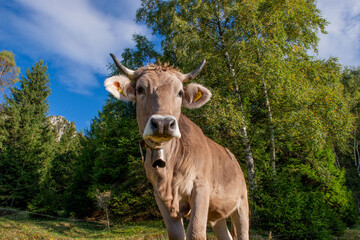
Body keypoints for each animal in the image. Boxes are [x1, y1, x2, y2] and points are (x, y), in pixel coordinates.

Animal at [105, 54, 249, 240]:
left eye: (180, 92)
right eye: (140, 89)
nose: (163, 123)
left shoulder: (201, 188)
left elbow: (195, 232)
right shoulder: (159, 195)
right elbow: (175, 234)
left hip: (242, 203)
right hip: (217, 216)